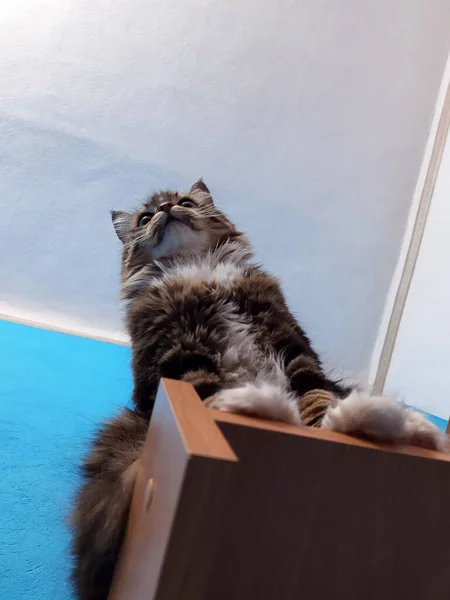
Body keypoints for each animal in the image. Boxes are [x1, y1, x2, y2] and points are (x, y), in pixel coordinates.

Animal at [70, 179, 442, 600]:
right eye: (146, 217)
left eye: (185, 202)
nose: (165, 208)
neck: (199, 270)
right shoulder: (178, 358)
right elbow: (205, 394)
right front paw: (238, 405)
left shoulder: (292, 346)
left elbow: (315, 398)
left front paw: (322, 425)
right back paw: (260, 405)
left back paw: (394, 424)